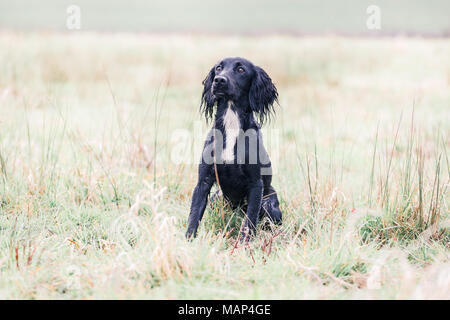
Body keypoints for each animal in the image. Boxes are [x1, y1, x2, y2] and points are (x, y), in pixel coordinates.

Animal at [185, 57, 282, 240]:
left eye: (241, 70)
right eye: (218, 68)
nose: (219, 80)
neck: (231, 124)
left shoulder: (256, 185)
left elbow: (249, 222)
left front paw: (244, 244)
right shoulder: (203, 181)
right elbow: (194, 216)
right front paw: (187, 242)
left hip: (269, 202)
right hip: (217, 198)